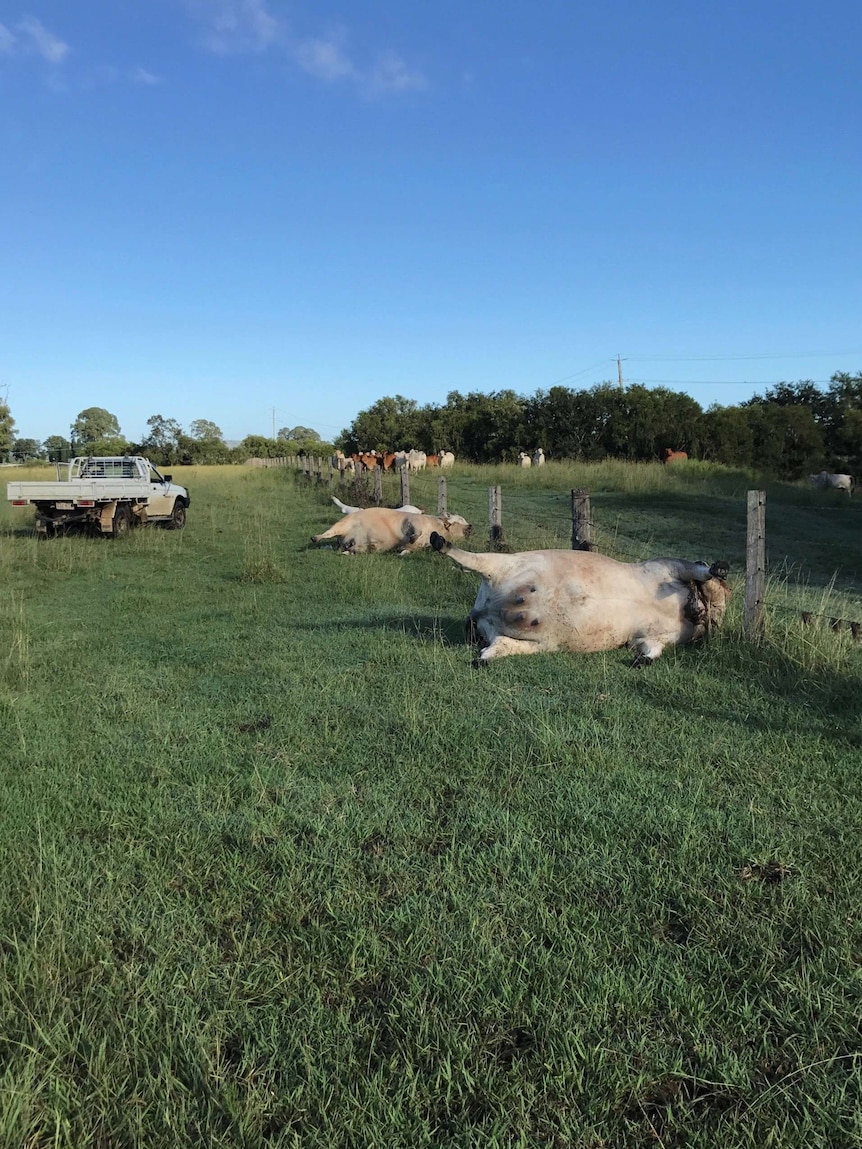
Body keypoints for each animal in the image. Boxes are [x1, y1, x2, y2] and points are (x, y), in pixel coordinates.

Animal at [429, 535, 730, 671]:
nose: (706, 615)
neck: (685, 610)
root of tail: (480, 611)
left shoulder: (649, 637)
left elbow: (649, 649)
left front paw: (641, 661)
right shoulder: (667, 567)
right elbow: (700, 570)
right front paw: (719, 569)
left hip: (534, 643)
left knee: (499, 646)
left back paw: (482, 659)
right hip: (503, 563)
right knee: (468, 558)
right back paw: (439, 541)